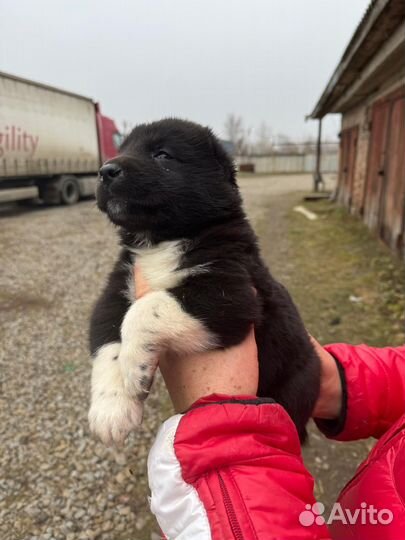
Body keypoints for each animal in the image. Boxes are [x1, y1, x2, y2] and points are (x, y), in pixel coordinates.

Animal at [87, 120, 318, 446]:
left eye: (163, 154)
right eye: (124, 149)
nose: (105, 170)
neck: (160, 241)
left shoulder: (233, 295)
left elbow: (145, 309)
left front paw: (134, 369)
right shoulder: (116, 290)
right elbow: (108, 339)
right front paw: (112, 409)